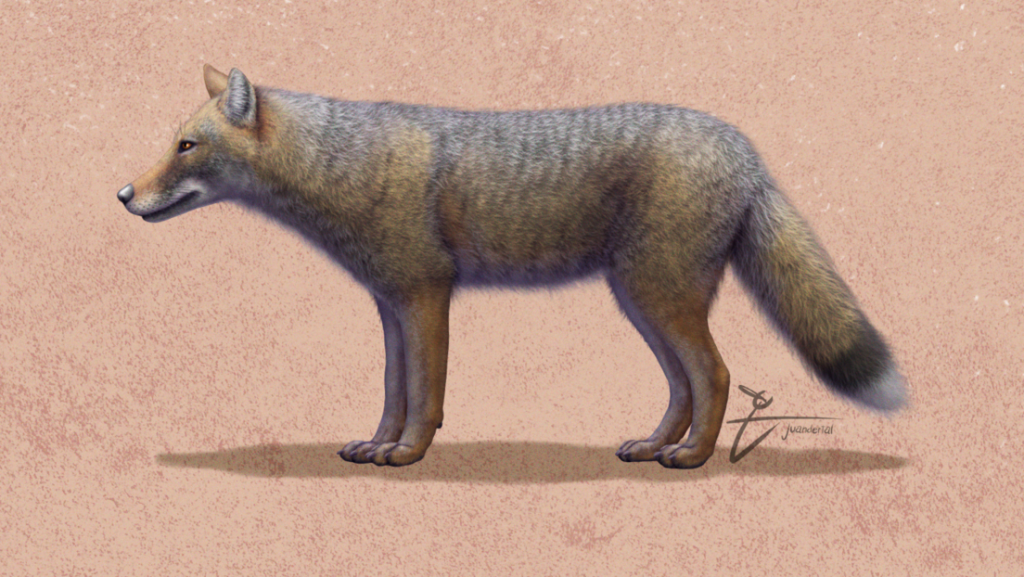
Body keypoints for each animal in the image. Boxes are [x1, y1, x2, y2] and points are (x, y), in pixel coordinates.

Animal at [117, 65, 907, 469]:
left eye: (186, 146)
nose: (123, 195)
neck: (345, 165)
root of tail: (743, 145)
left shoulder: (426, 295)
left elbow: (425, 394)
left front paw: (407, 454)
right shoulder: (390, 303)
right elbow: (393, 389)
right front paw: (377, 443)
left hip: (659, 297)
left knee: (714, 375)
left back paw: (691, 456)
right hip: (641, 301)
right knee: (685, 384)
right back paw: (656, 445)